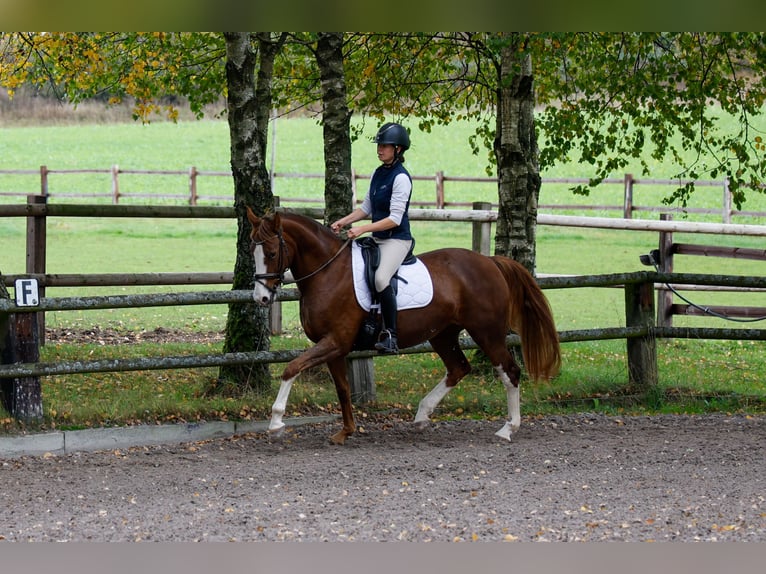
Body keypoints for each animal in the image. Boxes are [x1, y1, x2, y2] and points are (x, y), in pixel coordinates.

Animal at [246, 207, 561, 445]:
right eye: (252, 251)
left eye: (271, 253)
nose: (261, 298)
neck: (328, 273)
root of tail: (490, 262)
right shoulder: (334, 347)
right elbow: (343, 389)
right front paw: (345, 432)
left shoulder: (335, 341)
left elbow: (291, 368)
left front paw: (276, 422)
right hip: (443, 334)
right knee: (458, 368)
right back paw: (422, 416)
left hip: (488, 333)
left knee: (510, 372)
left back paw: (508, 429)